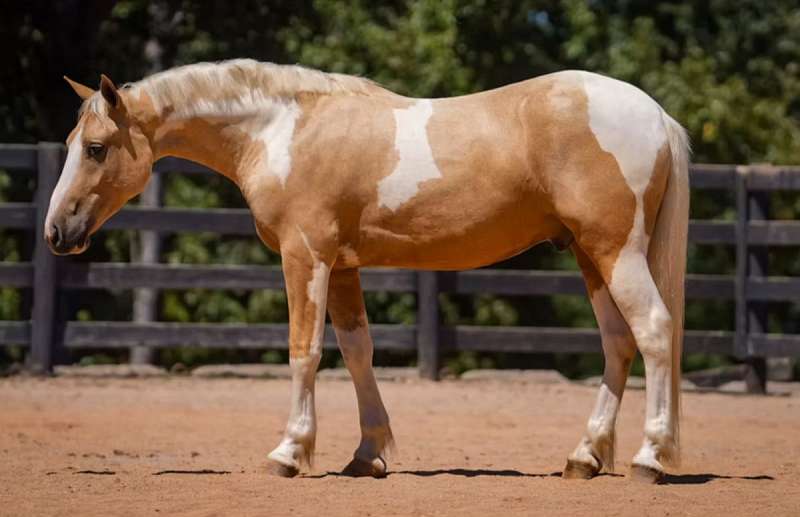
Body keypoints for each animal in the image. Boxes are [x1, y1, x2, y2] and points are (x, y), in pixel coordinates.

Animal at [49, 59, 688, 483]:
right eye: (72, 142)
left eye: (96, 148)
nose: (57, 231)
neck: (281, 130)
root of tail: (657, 114)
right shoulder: (343, 268)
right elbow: (358, 352)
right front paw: (367, 453)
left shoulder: (305, 256)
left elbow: (304, 351)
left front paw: (289, 452)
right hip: (589, 256)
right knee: (618, 343)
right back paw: (584, 456)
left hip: (616, 252)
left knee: (655, 332)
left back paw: (649, 459)